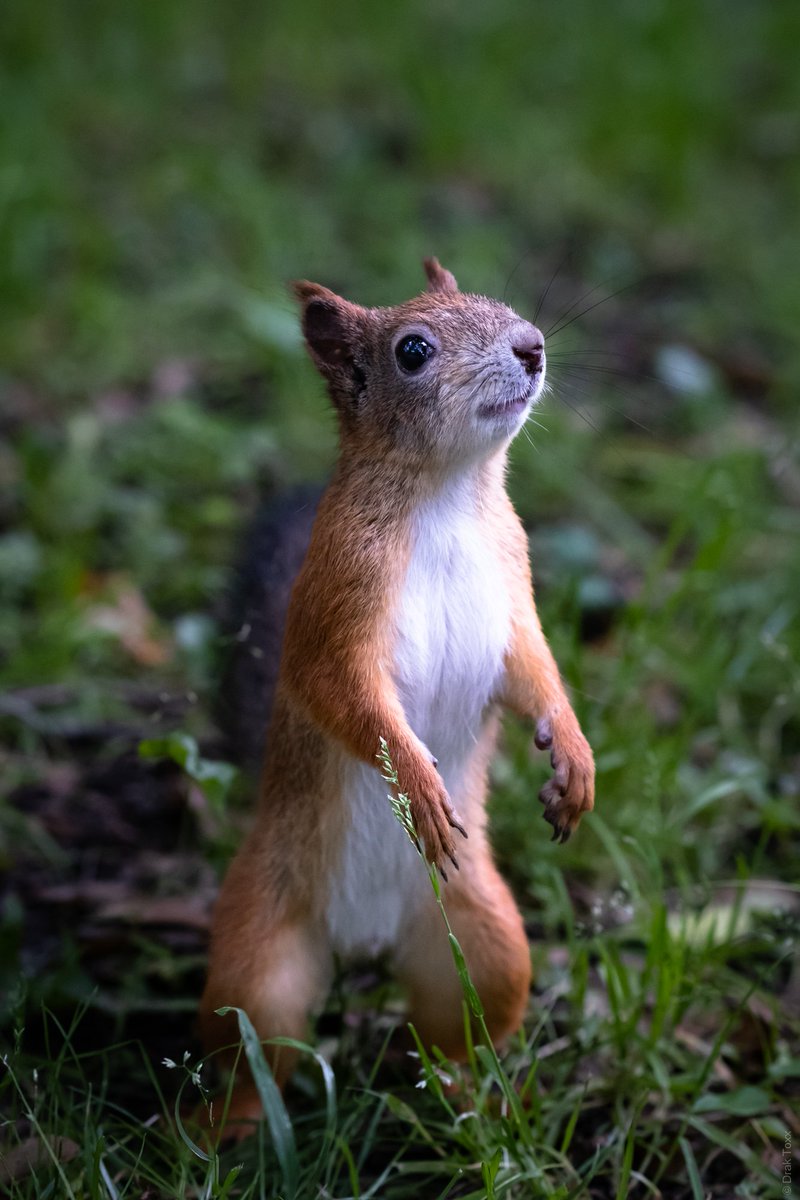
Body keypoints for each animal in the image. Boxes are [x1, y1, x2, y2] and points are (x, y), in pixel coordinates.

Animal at [199, 258, 595, 1125]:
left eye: (498, 303)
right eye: (412, 351)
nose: (532, 345)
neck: (450, 497)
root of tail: (364, 939)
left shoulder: (513, 602)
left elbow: (538, 676)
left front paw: (575, 758)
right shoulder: (336, 607)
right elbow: (347, 699)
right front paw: (417, 785)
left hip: (485, 943)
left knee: (459, 1028)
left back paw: (463, 1096)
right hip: (258, 953)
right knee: (252, 1052)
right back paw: (221, 1130)